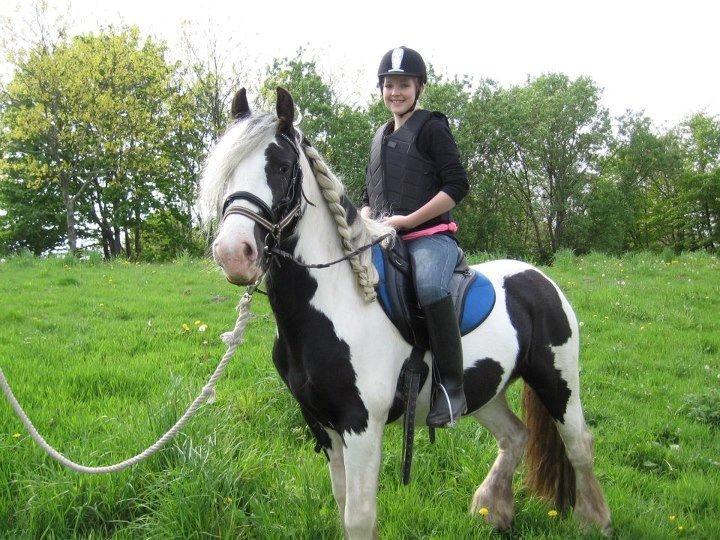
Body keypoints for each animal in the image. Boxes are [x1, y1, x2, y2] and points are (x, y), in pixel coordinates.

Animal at [198, 87, 612, 536]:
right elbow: (342, 504)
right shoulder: (321, 424)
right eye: (225, 170)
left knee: (579, 444)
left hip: (557, 380)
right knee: (516, 437)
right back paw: (493, 510)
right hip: (485, 391)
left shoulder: (361, 424)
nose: (234, 253)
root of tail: (540, 279)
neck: (339, 303)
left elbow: (359, 516)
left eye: (282, 166)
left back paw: (595, 520)